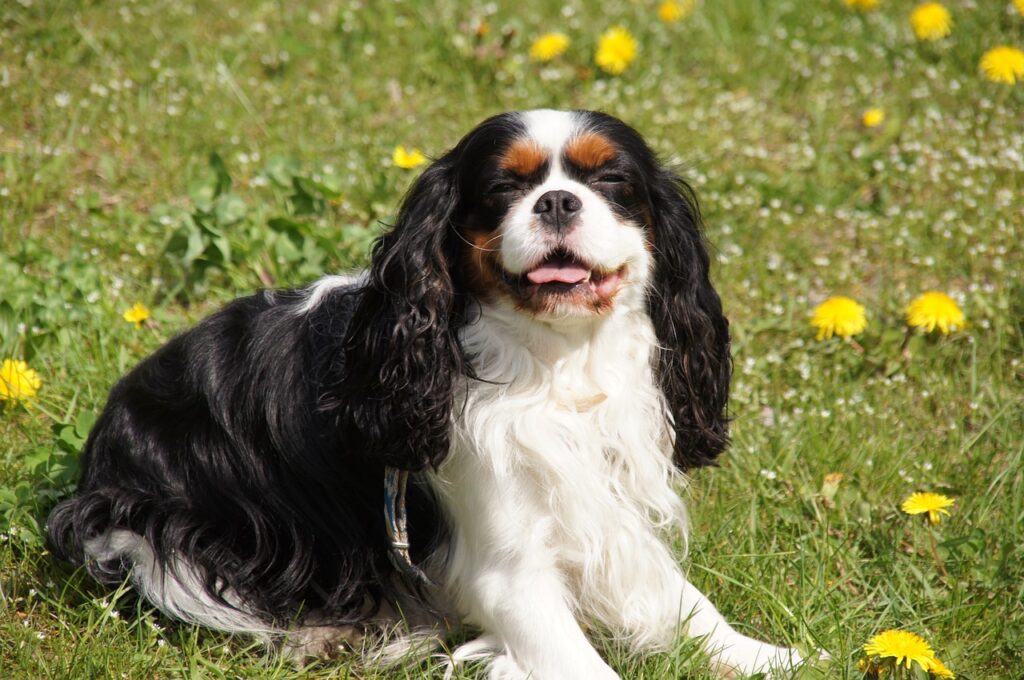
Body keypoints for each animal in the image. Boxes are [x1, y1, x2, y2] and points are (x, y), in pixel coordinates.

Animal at [48, 109, 806, 675]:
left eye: (612, 180)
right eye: (503, 189)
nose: (558, 200)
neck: (556, 363)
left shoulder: (605, 510)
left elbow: (688, 603)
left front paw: (772, 655)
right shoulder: (508, 572)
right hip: (161, 533)